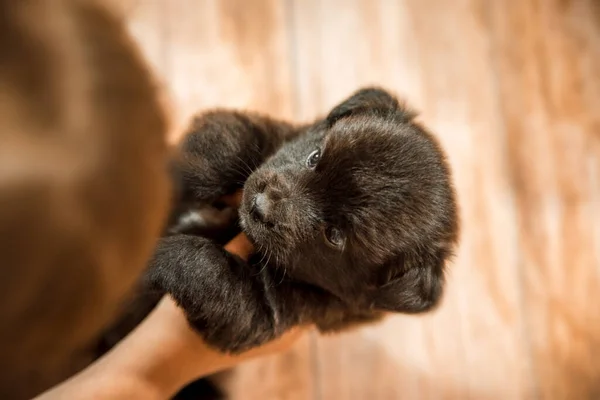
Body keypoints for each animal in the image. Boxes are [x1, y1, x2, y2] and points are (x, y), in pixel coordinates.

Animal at [144, 86, 460, 352]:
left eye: (334, 235)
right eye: (314, 157)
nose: (260, 206)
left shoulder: (268, 309)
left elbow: (206, 266)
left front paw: (161, 256)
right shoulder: (273, 135)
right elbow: (232, 144)